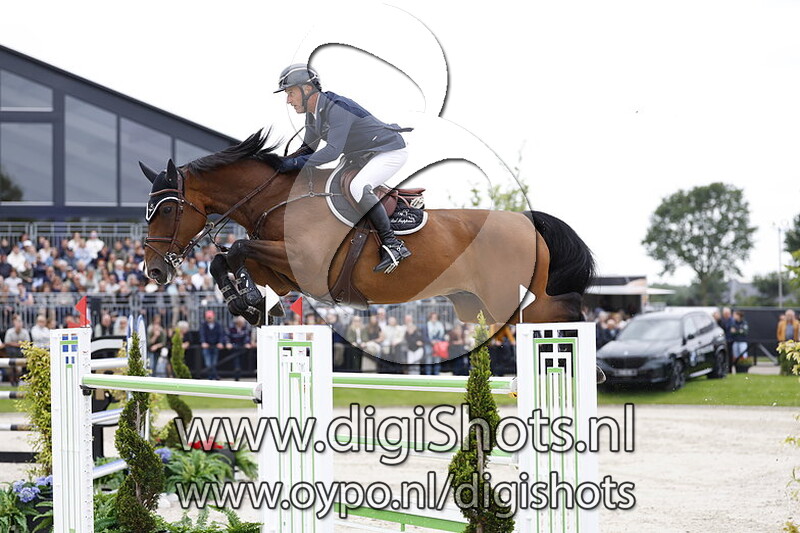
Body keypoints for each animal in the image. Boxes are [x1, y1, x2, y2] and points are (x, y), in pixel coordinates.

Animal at [140, 130, 594, 329]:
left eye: (166, 210)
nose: (154, 271)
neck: (281, 200)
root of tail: (525, 221)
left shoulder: (304, 261)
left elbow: (234, 250)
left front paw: (246, 300)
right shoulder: (284, 275)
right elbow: (224, 260)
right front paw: (247, 303)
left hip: (511, 300)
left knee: (561, 310)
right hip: (478, 304)